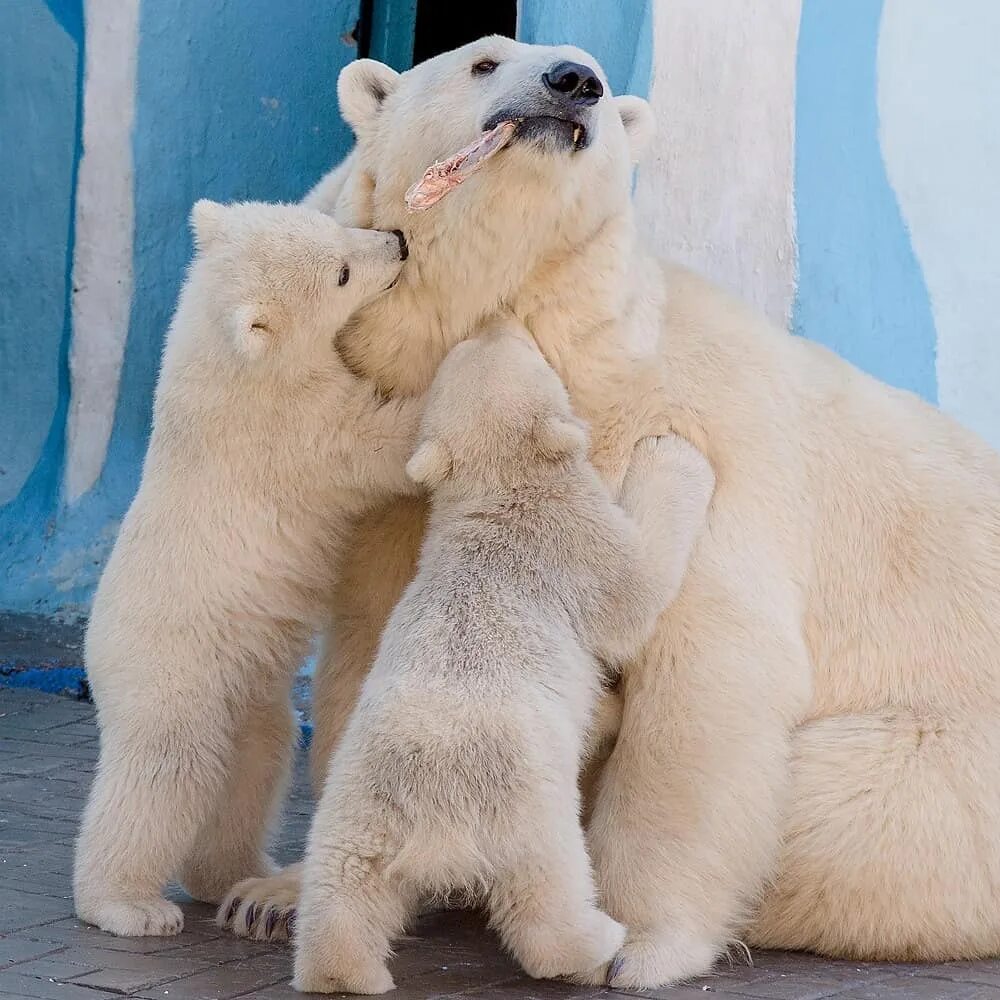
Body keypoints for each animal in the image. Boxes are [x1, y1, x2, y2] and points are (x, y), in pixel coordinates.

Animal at [74, 201, 416, 936]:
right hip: (174, 673)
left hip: (246, 680)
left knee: (255, 761)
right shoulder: (291, 430)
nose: (398, 240)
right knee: (165, 775)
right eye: (342, 274)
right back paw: (128, 904)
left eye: (334, 226)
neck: (223, 365)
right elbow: (375, 440)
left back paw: (236, 873)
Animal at [292, 326, 716, 992]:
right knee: (546, 897)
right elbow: (637, 589)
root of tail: (434, 837)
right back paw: (601, 942)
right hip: (521, 813)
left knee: (340, 892)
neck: (500, 494)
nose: (493, 325)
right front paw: (674, 451)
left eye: (464, 352)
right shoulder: (575, 545)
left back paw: (344, 972)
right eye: (528, 354)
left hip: (357, 816)